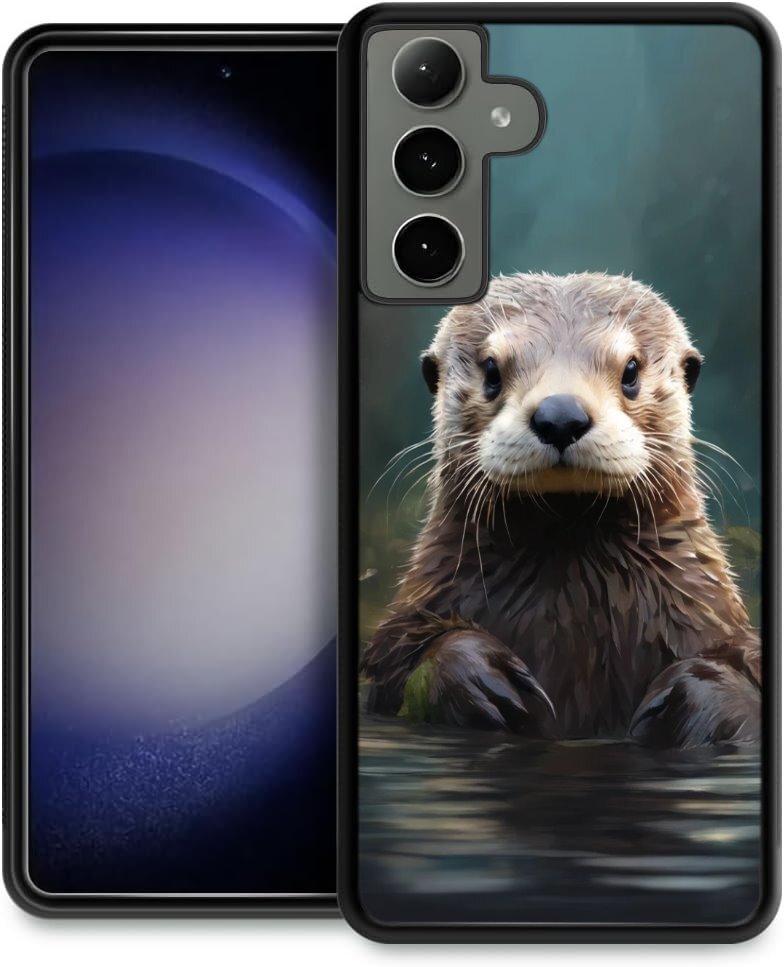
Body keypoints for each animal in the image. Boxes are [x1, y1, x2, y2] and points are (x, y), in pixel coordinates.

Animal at [363, 272, 761, 748]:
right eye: (491, 370)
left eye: (631, 370)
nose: (560, 415)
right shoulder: (398, 639)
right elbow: (401, 666)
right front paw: (477, 676)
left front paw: (698, 694)